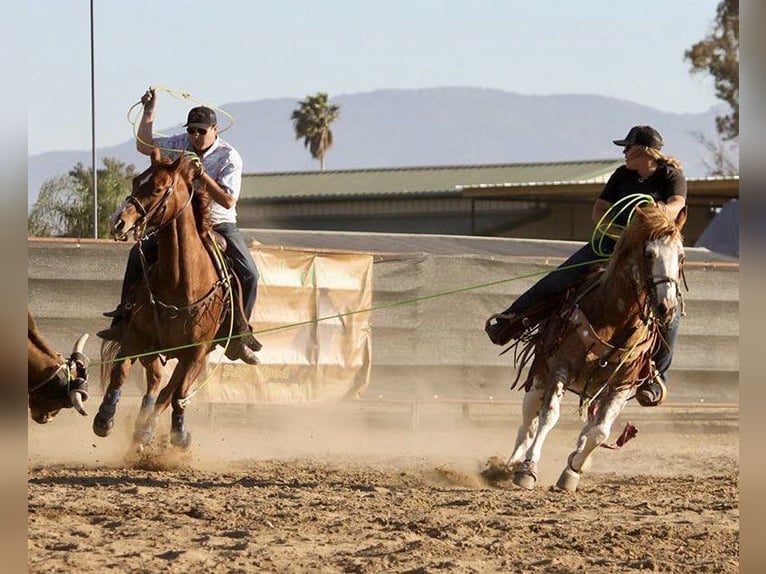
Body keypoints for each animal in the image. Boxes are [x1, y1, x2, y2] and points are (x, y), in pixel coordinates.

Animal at [93, 147, 231, 450]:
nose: (118, 222)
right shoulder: (137, 335)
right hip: (153, 349)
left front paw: (178, 432)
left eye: (157, 189)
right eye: (135, 182)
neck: (180, 283)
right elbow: (120, 372)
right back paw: (141, 425)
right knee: (155, 381)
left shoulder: (196, 352)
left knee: (170, 390)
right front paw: (104, 418)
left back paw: (150, 429)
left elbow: (177, 393)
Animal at [498, 205, 688, 492]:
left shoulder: (622, 385)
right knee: (528, 423)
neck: (615, 318)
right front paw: (527, 470)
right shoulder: (560, 369)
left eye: (681, 256)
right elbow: (549, 417)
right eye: (649, 253)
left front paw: (573, 469)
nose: (666, 307)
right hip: (539, 376)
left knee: (589, 426)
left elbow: (599, 432)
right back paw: (509, 465)